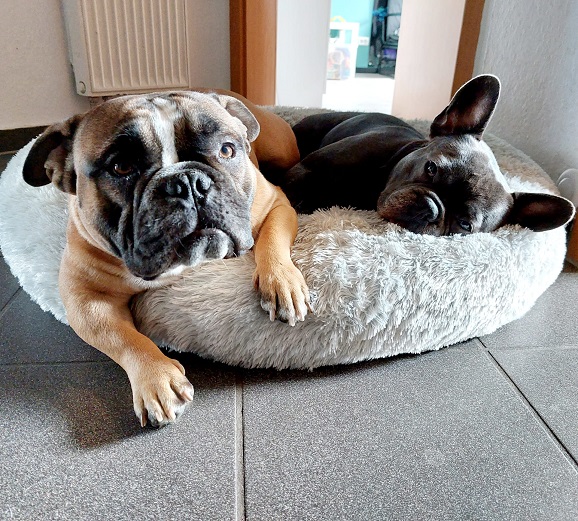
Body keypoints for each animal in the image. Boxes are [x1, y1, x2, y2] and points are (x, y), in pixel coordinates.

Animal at [22, 89, 308, 427]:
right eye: (121, 167)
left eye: (226, 150)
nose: (188, 182)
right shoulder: (86, 300)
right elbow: (120, 336)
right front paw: (156, 378)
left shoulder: (275, 204)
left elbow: (272, 240)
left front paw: (281, 283)